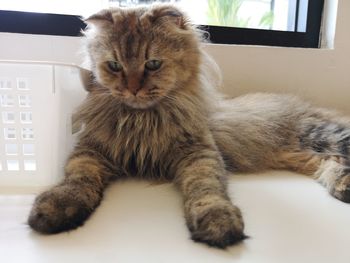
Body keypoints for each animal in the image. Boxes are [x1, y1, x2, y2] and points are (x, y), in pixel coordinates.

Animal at [28, 4, 350, 250]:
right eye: (115, 66)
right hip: (303, 155)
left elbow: (206, 189)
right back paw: (342, 187)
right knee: (330, 163)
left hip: (323, 135)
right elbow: (77, 179)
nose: (132, 89)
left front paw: (218, 222)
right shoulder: (91, 150)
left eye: (153, 64)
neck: (142, 121)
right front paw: (55, 208)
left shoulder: (199, 152)